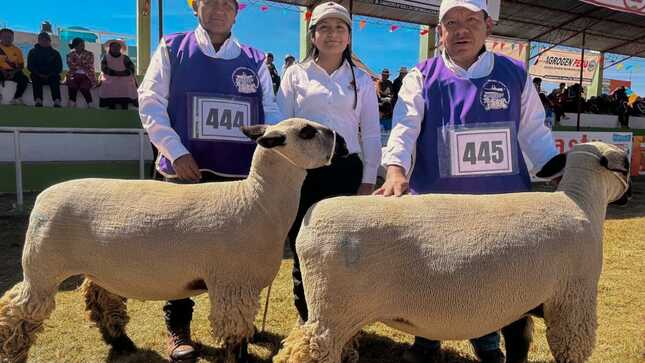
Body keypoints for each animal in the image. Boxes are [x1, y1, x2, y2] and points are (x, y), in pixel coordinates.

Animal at [0, 118, 350, 363]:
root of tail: (43, 197)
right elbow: (235, 337)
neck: (257, 201)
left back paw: (122, 343)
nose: (343, 143)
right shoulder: (232, 284)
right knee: (18, 311)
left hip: (97, 265)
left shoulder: (240, 286)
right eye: (307, 132)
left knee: (101, 298)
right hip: (42, 265)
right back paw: (14, 350)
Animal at [276, 141, 628, 363]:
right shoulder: (572, 302)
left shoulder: (521, 304)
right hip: (332, 312)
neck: (580, 200)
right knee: (307, 353)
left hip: (329, 311)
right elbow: (570, 351)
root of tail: (309, 220)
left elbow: (518, 345)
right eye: (625, 165)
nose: (625, 198)